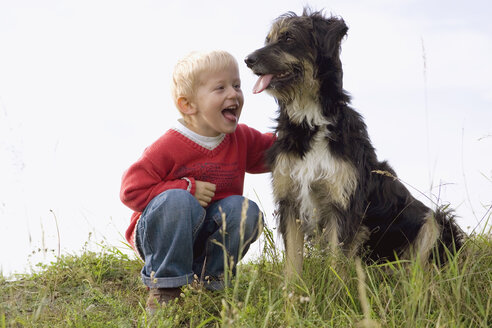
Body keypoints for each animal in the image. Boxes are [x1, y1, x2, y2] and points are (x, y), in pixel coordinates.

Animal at [246, 9, 466, 278]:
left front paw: (332, 289)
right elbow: (292, 266)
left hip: (435, 221)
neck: (312, 123)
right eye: (268, 40)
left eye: (288, 38)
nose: (247, 60)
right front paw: (291, 291)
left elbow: (334, 263)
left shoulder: (342, 205)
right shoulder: (290, 202)